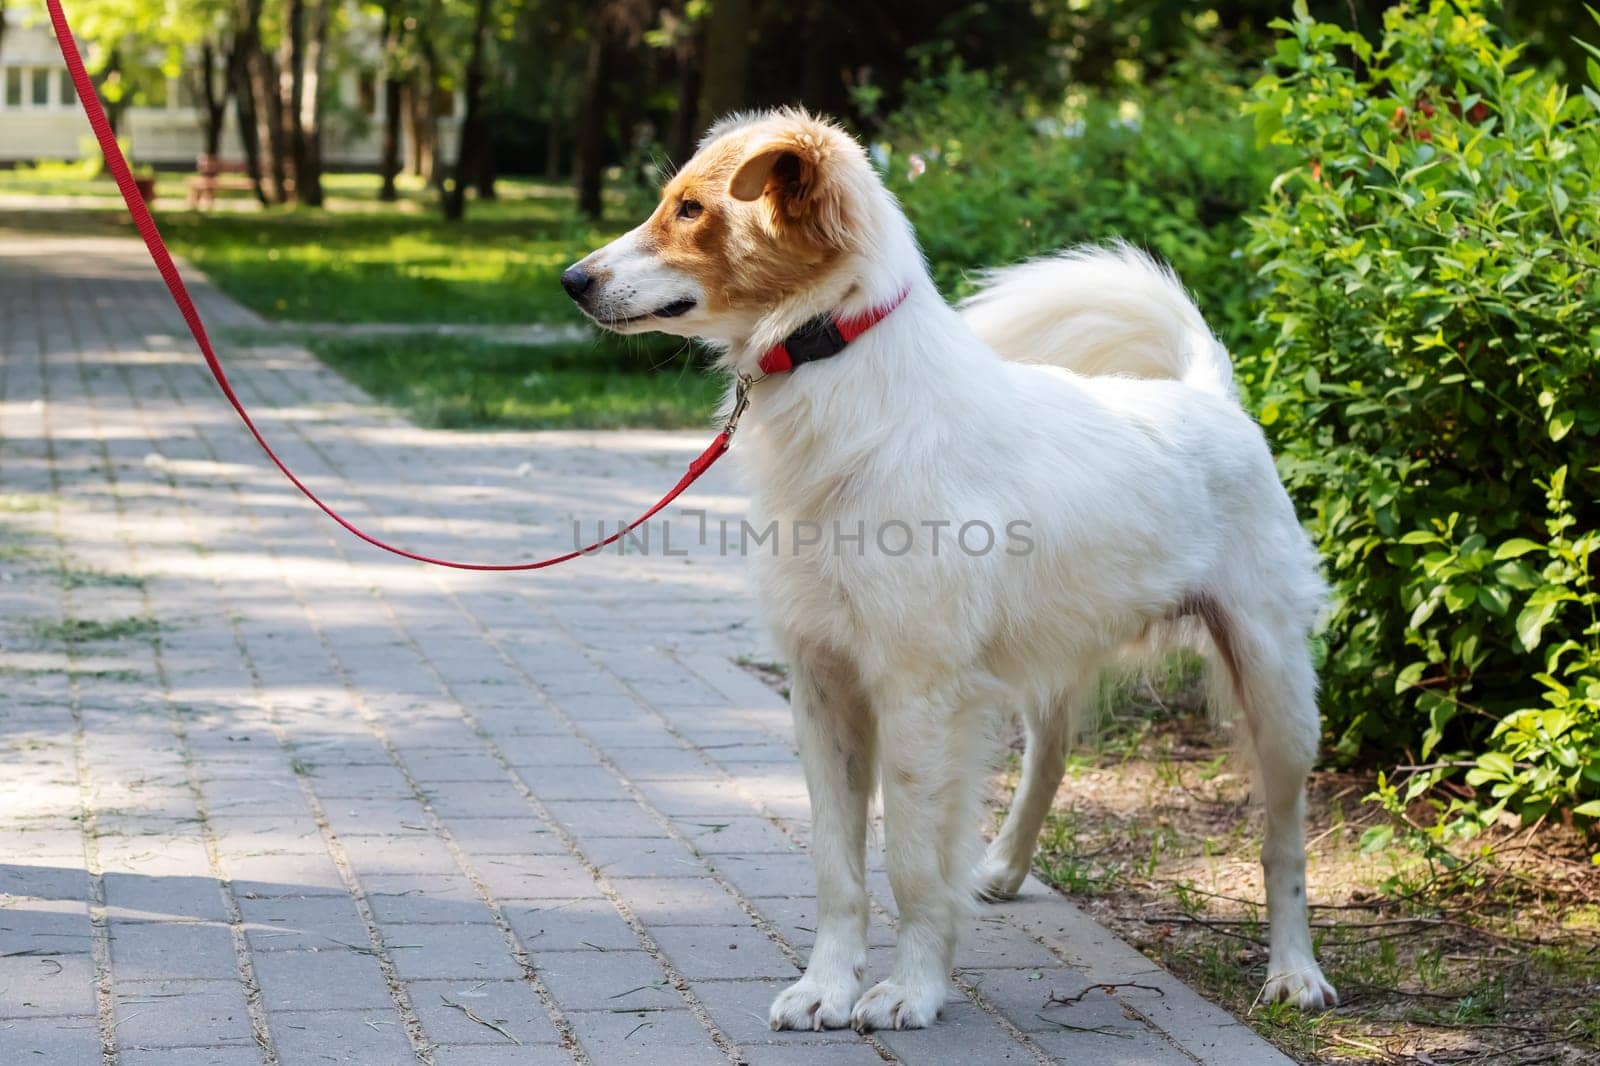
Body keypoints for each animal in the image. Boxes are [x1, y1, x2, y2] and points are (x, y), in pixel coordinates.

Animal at [563, 109, 1337, 1030]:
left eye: (689, 210)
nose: (571, 279)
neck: (844, 381)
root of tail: (1210, 397)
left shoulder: (917, 693)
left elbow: (908, 863)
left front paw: (912, 989)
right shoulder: (822, 682)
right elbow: (835, 865)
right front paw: (828, 986)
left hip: (1276, 685)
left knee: (1285, 841)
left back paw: (1295, 972)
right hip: (1056, 652)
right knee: (1052, 752)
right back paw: (1001, 868)